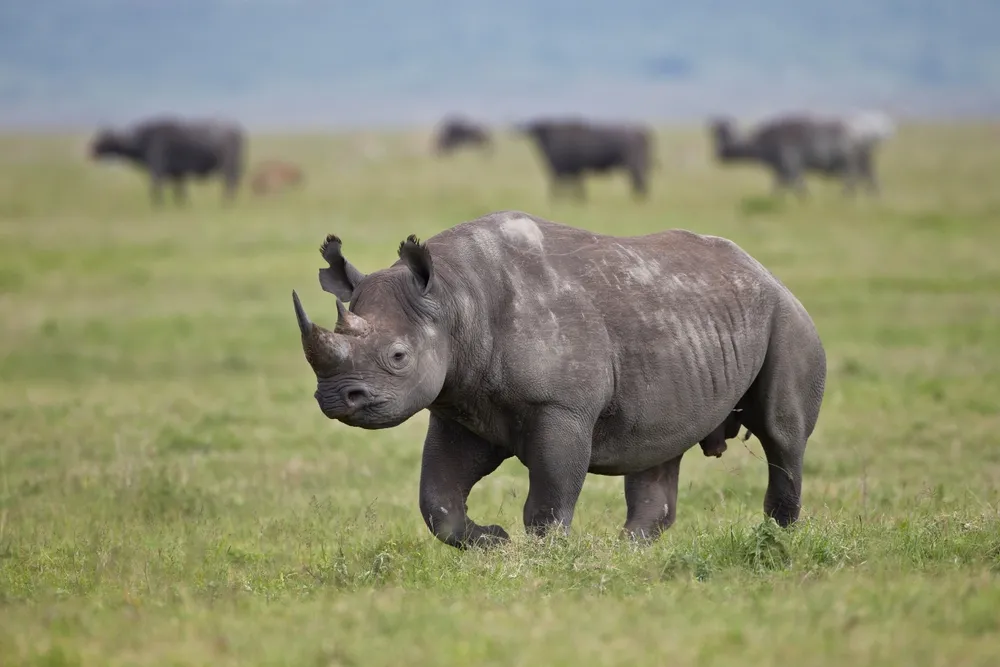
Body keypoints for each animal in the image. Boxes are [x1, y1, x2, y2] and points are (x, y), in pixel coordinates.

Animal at [291, 210, 826, 549]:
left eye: (399, 356)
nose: (336, 398)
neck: (454, 298)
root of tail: (767, 272)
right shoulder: (458, 405)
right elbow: (437, 502)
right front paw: (493, 542)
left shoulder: (561, 408)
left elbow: (549, 497)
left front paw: (547, 558)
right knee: (659, 445)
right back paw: (628, 552)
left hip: (788, 319)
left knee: (782, 436)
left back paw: (776, 537)